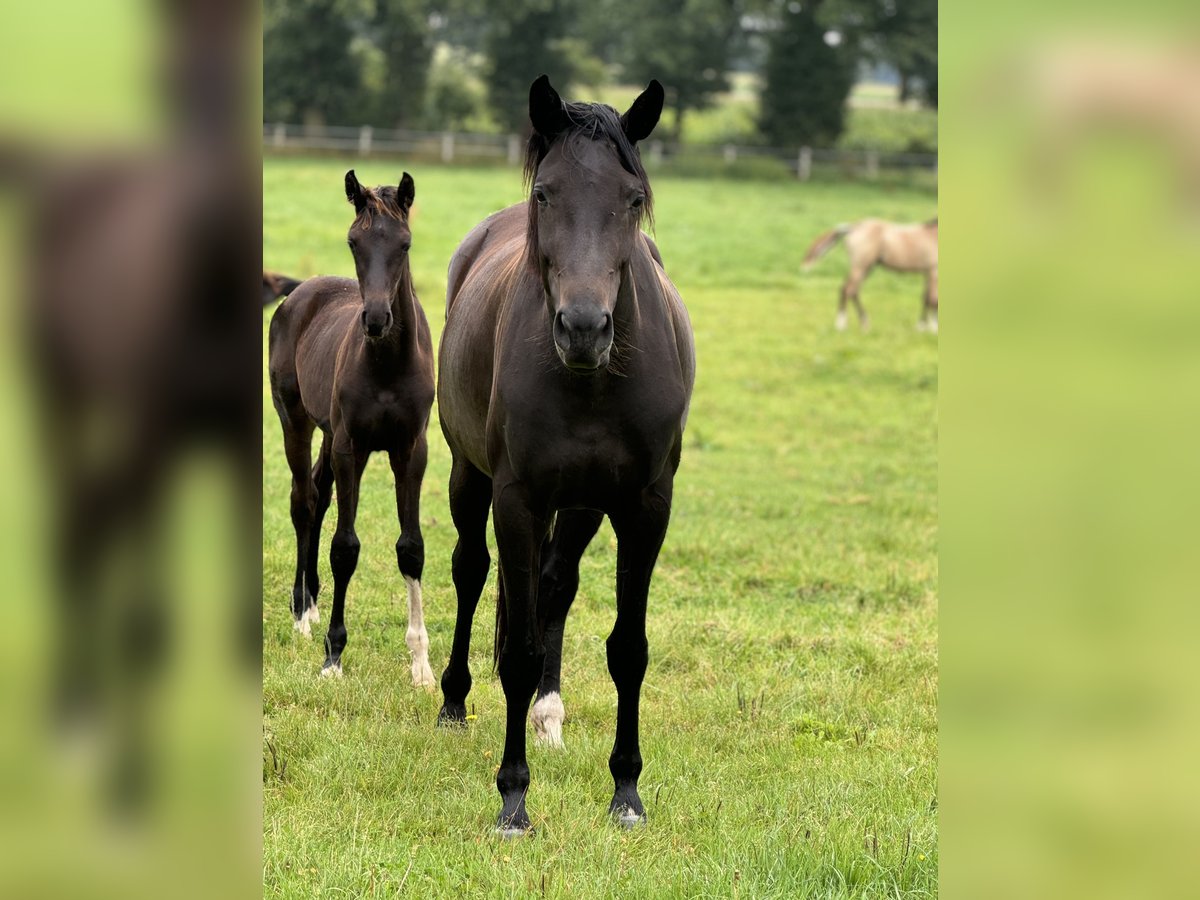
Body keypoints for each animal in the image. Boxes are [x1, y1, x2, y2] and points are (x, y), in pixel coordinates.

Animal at [434, 77, 696, 840]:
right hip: (469, 478)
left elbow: (628, 649)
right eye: (546, 193)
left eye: (632, 198)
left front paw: (627, 793)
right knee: (470, 572)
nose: (583, 328)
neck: (591, 381)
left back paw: (549, 716)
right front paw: (513, 799)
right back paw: (453, 701)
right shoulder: (517, 499)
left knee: (556, 585)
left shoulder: (645, 505)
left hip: (581, 506)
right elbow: (517, 650)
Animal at [806, 218, 936, 336]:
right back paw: (849, 325)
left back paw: (853, 324)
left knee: (847, 289)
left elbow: (925, 297)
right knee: (850, 290)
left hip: (866, 267)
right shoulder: (934, 271)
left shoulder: (928, 271)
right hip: (861, 266)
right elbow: (932, 299)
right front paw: (933, 329)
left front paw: (922, 327)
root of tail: (853, 227)